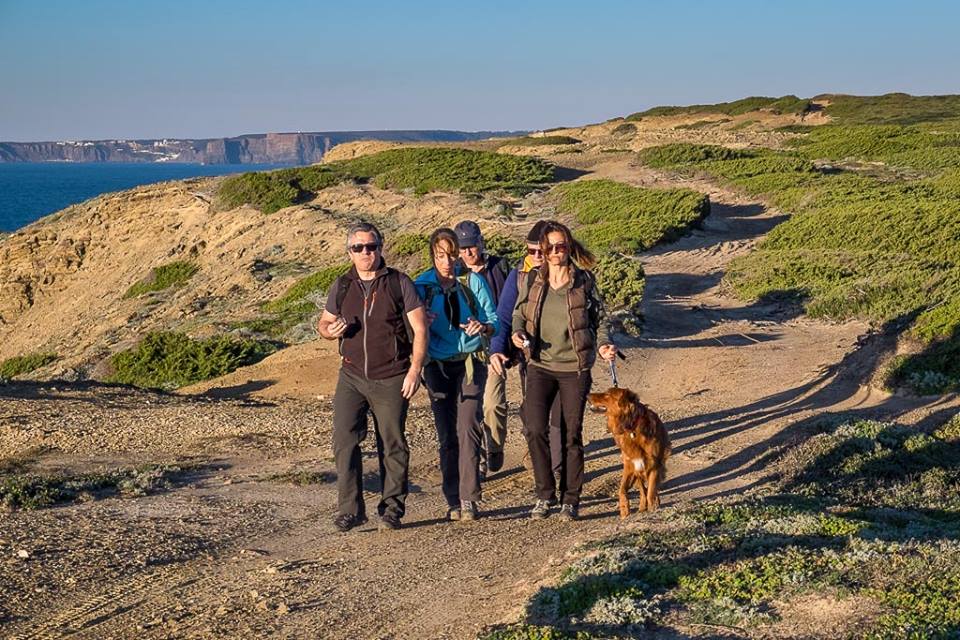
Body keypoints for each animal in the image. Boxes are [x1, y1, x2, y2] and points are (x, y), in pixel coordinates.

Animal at [588, 388, 671, 519]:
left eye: (607, 395)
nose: (587, 395)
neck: (632, 427)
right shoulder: (630, 466)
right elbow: (622, 490)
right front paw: (624, 510)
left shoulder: (654, 465)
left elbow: (651, 491)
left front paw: (653, 508)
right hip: (638, 470)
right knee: (642, 490)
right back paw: (642, 508)